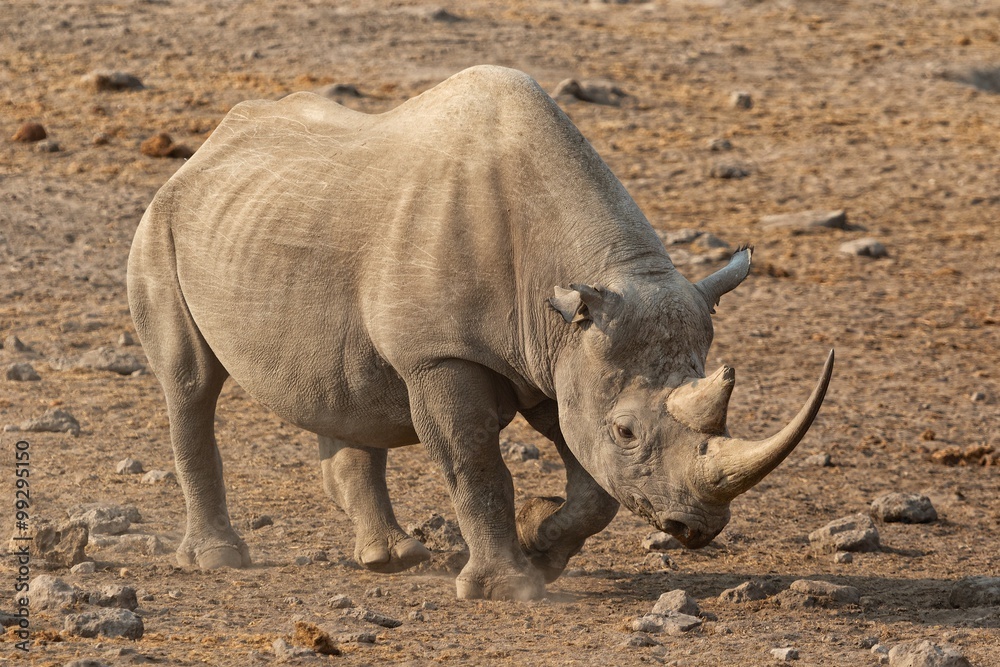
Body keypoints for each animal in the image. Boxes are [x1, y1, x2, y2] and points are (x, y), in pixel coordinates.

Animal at [127, 65, 833, 600]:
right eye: (627, 432)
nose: (697, 529)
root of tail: (206, 148)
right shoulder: (444, 355)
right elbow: (475, 466)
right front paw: (506, 588)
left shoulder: (561, 350)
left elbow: (591, 484)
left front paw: (539, 542)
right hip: (162, 220)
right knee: (190, 385)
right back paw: (219, 559)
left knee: (347, 392)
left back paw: (392, 558)